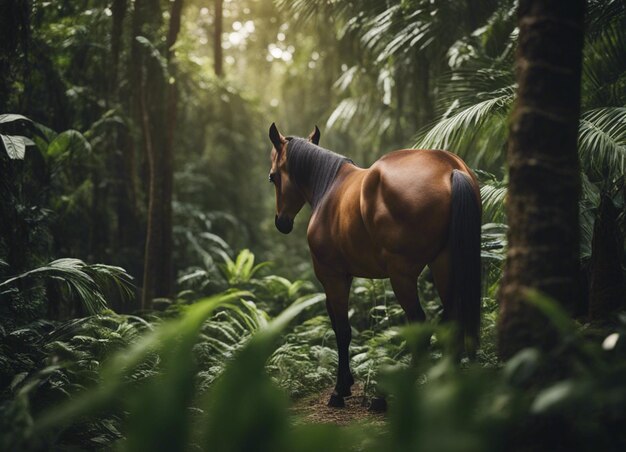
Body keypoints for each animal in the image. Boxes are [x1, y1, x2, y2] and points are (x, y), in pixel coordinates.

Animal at [266, 122, 480, 408]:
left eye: (273, 177)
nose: (282, 222)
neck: (329, 186)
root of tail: (450, 169)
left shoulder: (331, 276)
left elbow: (342, 330)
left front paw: (339, 390)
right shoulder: (343, 276)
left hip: (402, 275)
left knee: (420, 326)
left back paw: (389, 398)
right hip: (443, 264)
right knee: (452, 320)